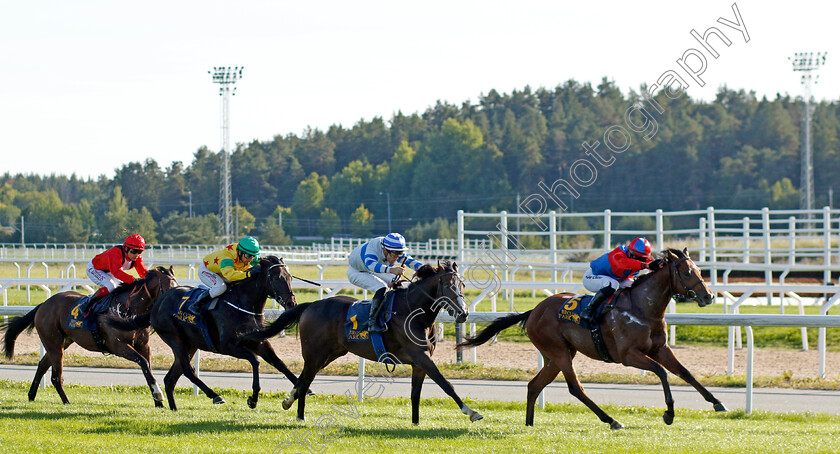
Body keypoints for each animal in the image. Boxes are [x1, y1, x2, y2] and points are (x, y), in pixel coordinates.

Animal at [2, 264, 177, 406]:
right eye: (168, 287)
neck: (128, 311)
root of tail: (43, 305)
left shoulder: (143, 345)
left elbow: (147, 367)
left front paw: (158, 402)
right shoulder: (118, 346)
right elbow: (143, 363)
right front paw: (158, 395)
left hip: (62, 343)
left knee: (42, 366)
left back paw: (31, 396)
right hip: (54, 344)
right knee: (56, 376)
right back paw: (66, 402)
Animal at [106, 255, 298, 412]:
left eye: (289, 277)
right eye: (276, 277)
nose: (291, 304)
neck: (242, 303)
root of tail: (158, 303)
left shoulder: (259, 342)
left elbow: (278, 362)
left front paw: (297, 392)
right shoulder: (228, 346)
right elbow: (255, 360)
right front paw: (253, 399)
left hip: (190, 344)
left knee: (171, 378)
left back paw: (174, 408)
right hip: (174, 339)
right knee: (188, 370)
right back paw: (215, 395)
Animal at [243, 260, 482, 424]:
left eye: (462, 284)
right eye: (449, 285)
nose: (463, 313)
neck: (414, 313)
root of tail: (310, 305)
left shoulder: (419, 363)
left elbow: (416, 395)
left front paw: (415, 424)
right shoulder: (420, 357)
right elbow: (446, 383)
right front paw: (471, 412)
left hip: (331, 354)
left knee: (302, 379)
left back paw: (289, 402)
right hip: (315, 354)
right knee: (305, 381)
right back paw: (300, 417)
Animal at [456, 248, 724, 430]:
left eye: (700, 271)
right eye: (687, 272)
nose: (709, 296)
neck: (643, 308)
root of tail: (534, 311)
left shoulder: (660, 348)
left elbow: (684, 372)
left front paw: (717, 402)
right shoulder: (628, 355)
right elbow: (662, 372)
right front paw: (669, 413)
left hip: (557, 355)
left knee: (534, 385)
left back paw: (529, 424)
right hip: (559, 352)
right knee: (575, 387)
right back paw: (611, 420)